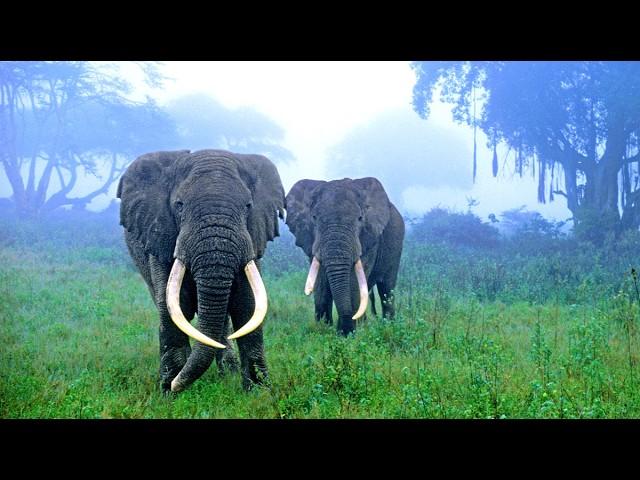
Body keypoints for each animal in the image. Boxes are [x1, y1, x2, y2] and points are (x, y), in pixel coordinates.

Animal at [115, 150, 284, 394]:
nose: (175, 385)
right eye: (179, 205)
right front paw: (169, 393)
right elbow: (173, 306)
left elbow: (248, 305)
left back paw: (228, 373)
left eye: (248, 206)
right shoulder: (161, 238)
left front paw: (259, 392)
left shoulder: (253, 239)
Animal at [286, 174, 404, 336]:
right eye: (314, 217)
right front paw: (323, 331)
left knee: (386, 288)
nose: (344, 331)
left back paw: (388, 326)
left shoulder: (369, 237)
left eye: (360, 218)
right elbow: (321, 282)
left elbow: (354, 280)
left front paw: (346, 335)